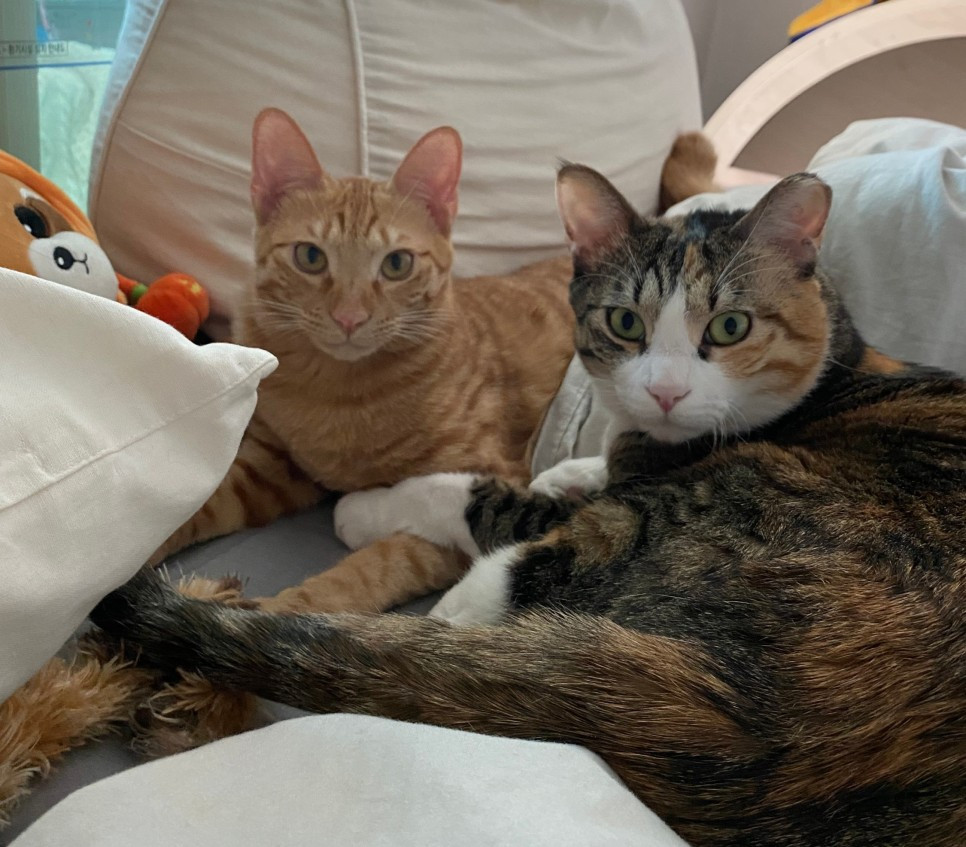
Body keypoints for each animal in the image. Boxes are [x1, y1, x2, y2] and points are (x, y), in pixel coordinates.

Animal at [92, 165, 966, 847]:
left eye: (729, 325)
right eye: (625, 322)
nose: (666, 390)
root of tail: (755, 721)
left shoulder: (642, 489)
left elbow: (477, 494)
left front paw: (370, 505)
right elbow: (583, 468)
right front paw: (571, 466)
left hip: (732, 514)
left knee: (519, 572)